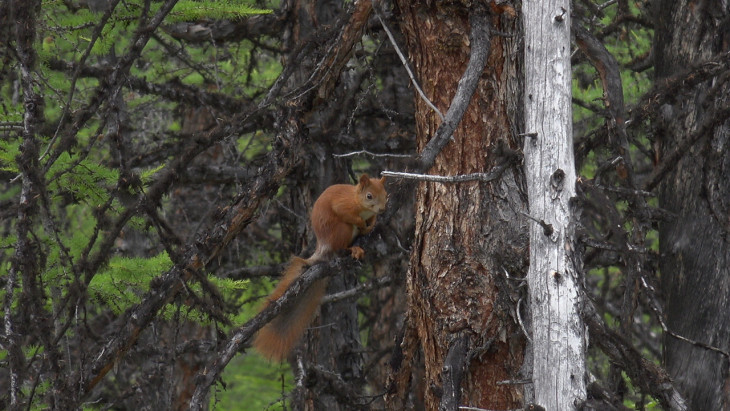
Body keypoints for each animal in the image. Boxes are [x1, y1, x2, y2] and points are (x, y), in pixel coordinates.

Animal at [252, 175, 386, 362]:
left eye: (386, 195)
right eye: (369, 196)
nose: (382, 209)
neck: (356, 199)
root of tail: (324, 247)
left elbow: (370, 220)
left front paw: (371, 223)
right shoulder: (343, 204)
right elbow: (346, 213)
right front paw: (362, 223)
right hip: (342, 230)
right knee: (340, 247)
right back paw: (352, 248)